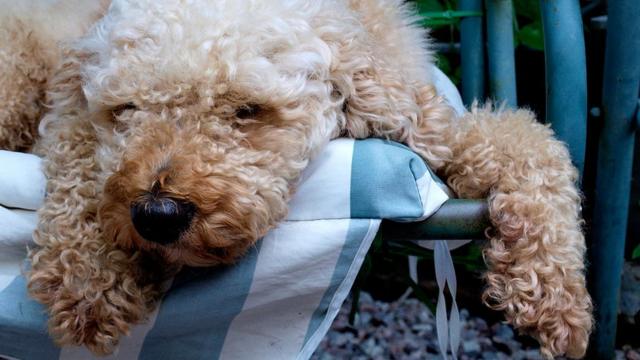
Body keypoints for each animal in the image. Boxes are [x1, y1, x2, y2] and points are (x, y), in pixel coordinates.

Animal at [0, 0, 592, 358]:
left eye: (247, 110)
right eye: (124, 109)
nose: (157, 215)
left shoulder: (429, 123)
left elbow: (530, 142)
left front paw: (555, 293)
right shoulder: (65, 110)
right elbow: (75, 154)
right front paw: (90, 278)